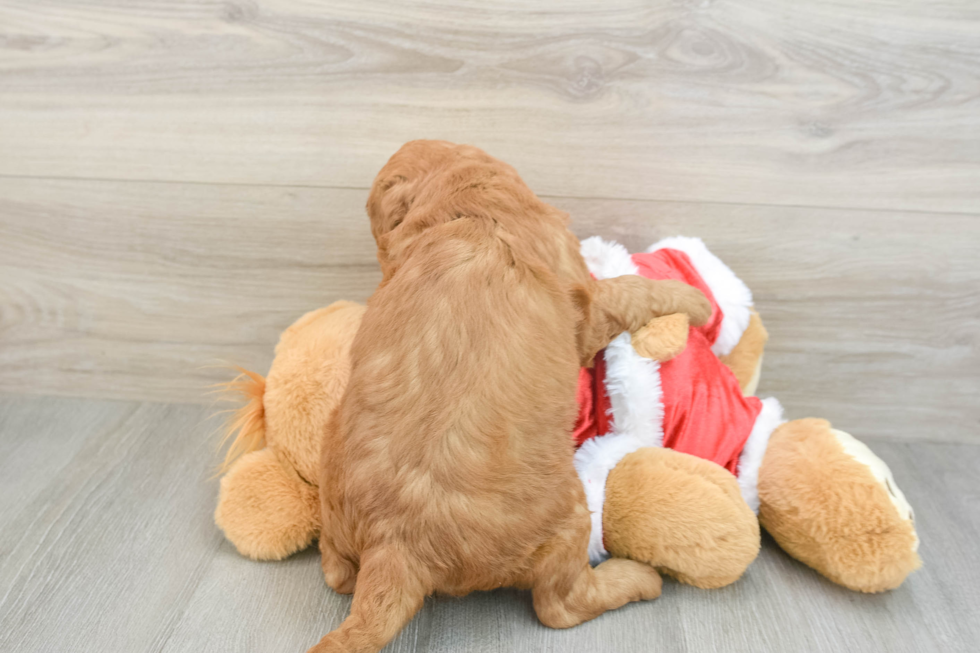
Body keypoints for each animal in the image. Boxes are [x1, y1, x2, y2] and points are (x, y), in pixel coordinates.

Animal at [310, 140, 708, 648]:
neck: (466, 210)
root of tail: (394, 546)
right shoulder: (586, 305)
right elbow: (631, 290)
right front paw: (695, 299)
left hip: (333, 489)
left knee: (337, 573)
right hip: (566, 521)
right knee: (561, 604)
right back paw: (637, 578)